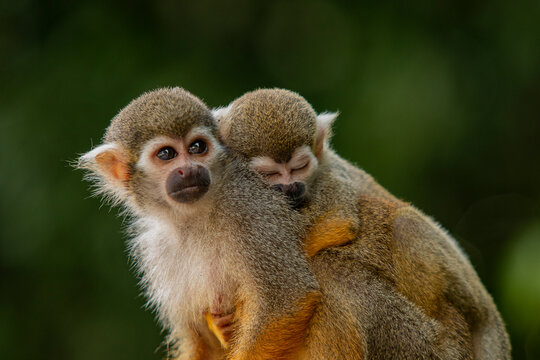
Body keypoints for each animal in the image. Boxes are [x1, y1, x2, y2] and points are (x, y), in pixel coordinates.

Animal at [77, 88, 320, 360]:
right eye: (166, 154)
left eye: (197, 147)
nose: (190, 169)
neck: (194, 217)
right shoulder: (157, 248)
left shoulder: (250, 206)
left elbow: (288, 302)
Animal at [215, 88, 510, 358]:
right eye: (270, 174)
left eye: (299, 167)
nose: (291, 188)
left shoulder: (330, 180)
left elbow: (339, 222)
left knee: (401, 229)